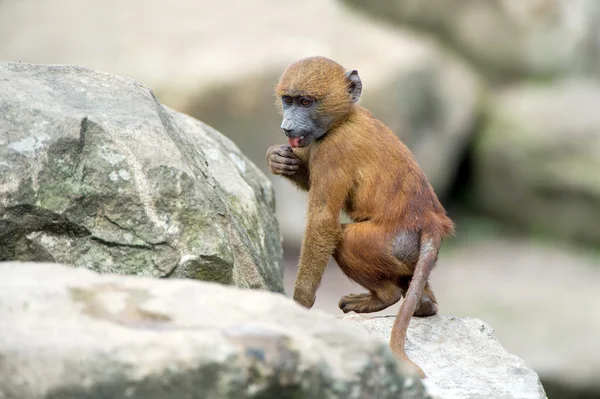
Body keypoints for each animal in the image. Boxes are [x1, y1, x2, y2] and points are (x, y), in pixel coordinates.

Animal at [264, 57, 452, 378]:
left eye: (305, 101)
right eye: (288, 100)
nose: (286, 127)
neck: (343, 119)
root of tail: (431, 220)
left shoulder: (333, 149)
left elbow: (323, 221)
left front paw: (298, 308)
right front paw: (279, 159)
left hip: (388, 243)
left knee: (345, 238)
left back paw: (382, 298)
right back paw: (424, 304)